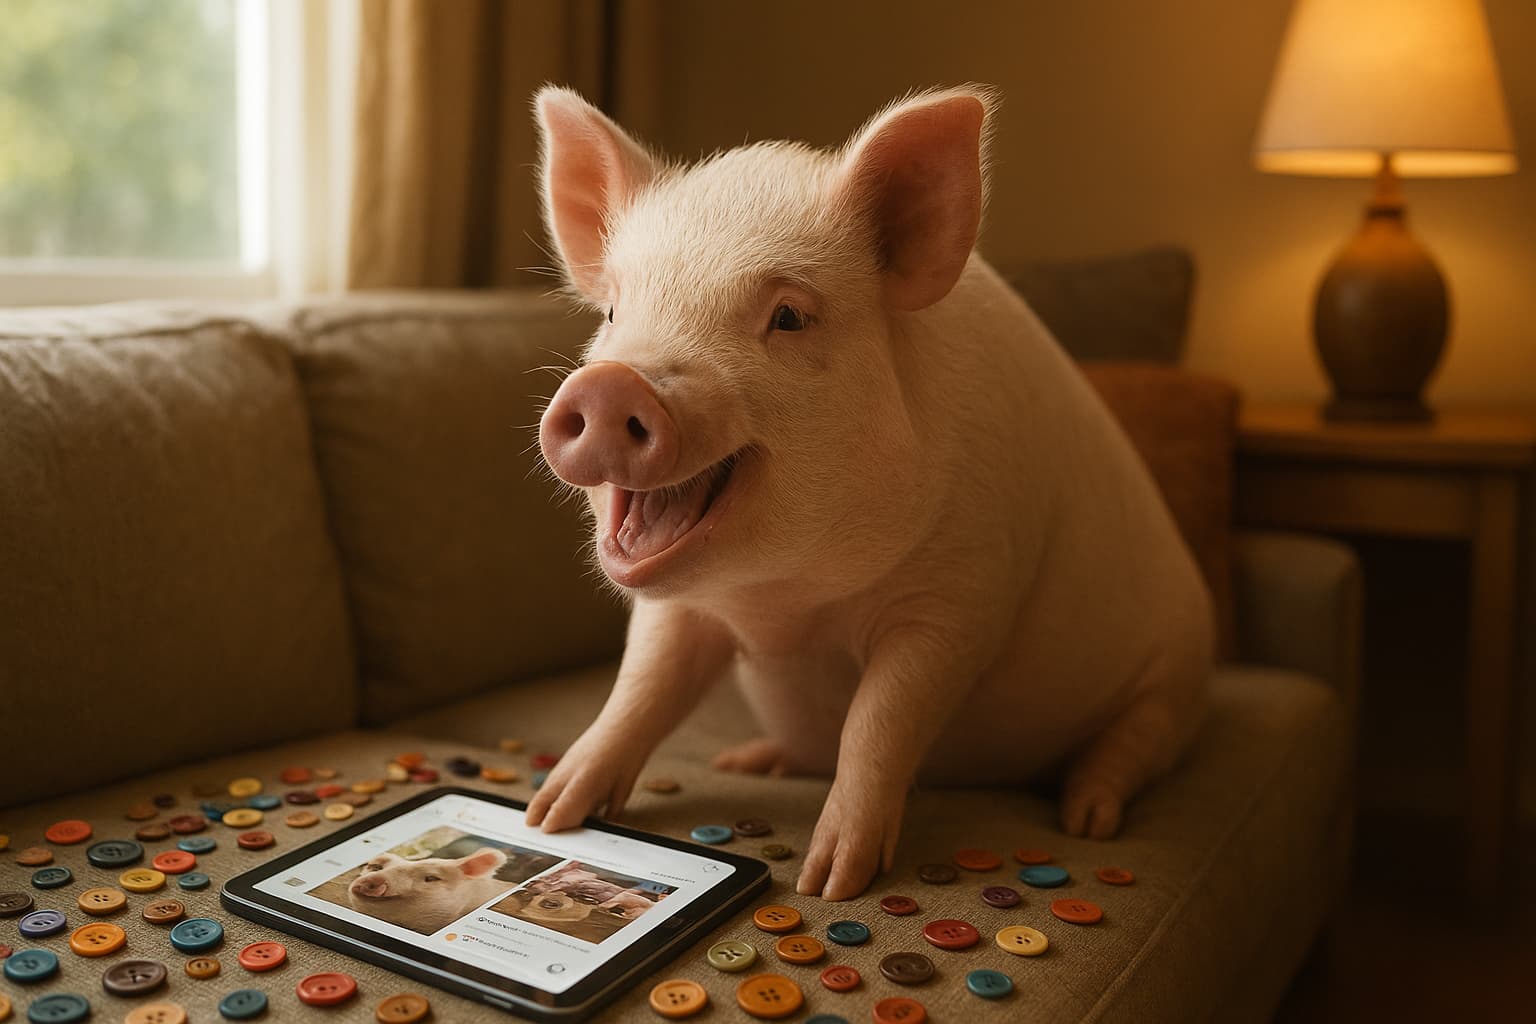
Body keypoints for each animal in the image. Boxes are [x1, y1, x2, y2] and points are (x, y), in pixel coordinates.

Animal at [525, 85, 1212, 901]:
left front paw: (829, 882)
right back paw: (750, 761)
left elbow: (882, 719)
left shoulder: (963, 597)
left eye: (789, 316)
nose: (609, 384)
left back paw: (1088, 817)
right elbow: (641, 689)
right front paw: (549, 814)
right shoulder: (677, 609)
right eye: (612, 312)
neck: (790, 608)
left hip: (1176, 676)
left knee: (1135, 742)